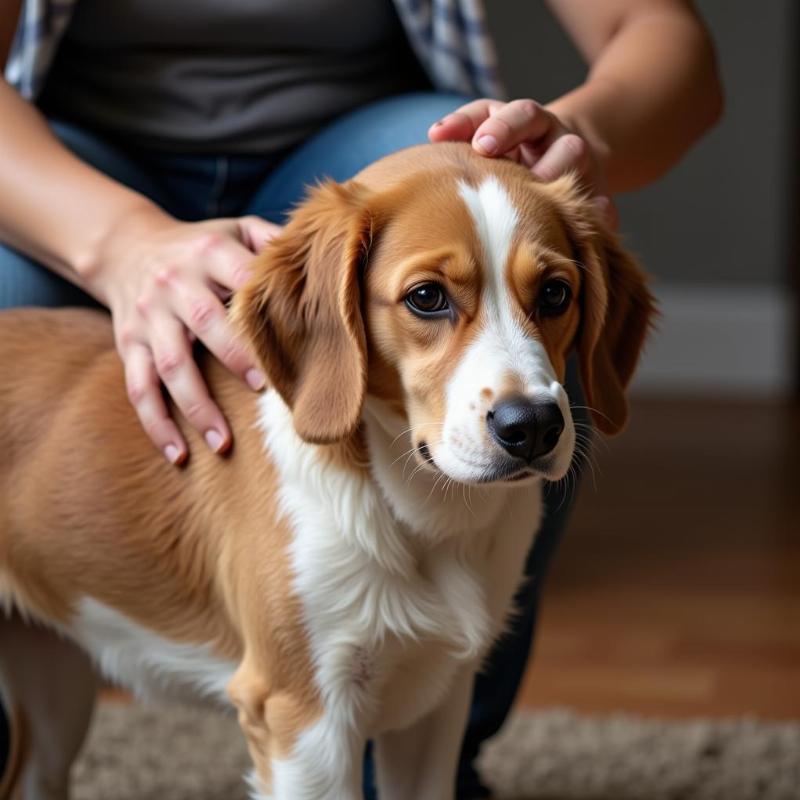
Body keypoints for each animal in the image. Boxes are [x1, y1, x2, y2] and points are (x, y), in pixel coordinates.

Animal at [0, 141, 652, 796]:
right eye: (427, 297)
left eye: (555, 294)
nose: (533, 427)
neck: (417, 510)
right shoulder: (301, 716)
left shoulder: (435, 704)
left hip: (54, 682)